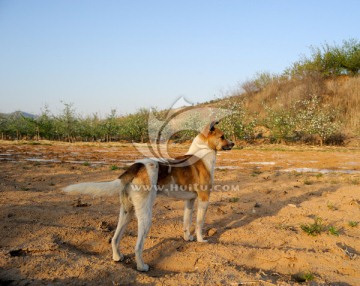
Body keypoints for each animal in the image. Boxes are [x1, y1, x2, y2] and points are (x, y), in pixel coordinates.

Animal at [63, 120, 235, 270]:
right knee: (138, 246)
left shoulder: (190, 201)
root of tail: (137, 166)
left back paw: (117, 257)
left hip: (126, 212)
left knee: (115, 238)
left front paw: (188, 238)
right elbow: (199, 223)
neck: (202, 155)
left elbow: (187, 223)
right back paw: (142, 266)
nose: (233, 144)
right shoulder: (204, 199)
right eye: (222, 136)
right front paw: (201, 240)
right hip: (145, 215)